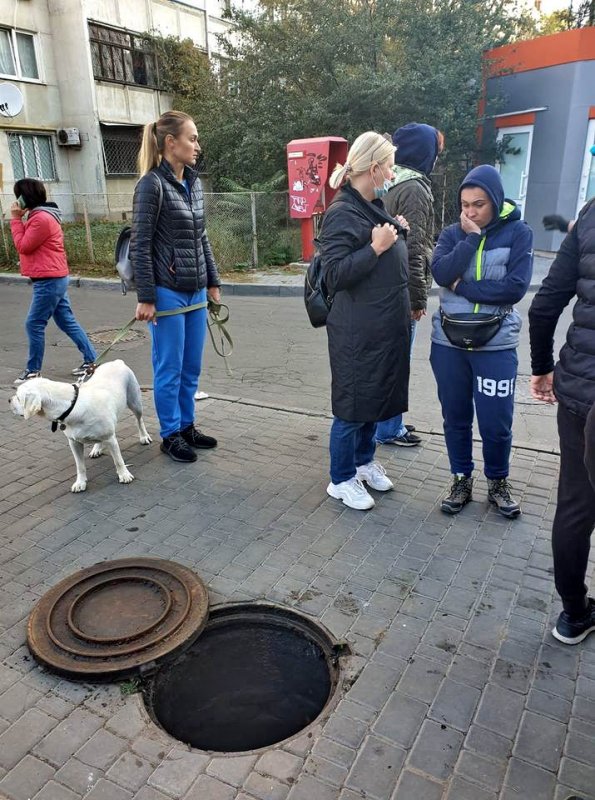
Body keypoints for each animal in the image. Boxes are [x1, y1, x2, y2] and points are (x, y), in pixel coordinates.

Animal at [9, 360, 152, 490]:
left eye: (18, 397)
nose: (9, 400)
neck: (71, 406)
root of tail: (117, 361)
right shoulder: (74, 442)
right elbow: (80, 466)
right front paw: (80, 483)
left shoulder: (110, 438)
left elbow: (118, 460)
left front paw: (124, 475)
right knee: (99, 440)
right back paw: (96, 449)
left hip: (135, 402)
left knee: (139, 420)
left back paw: (144, 437)